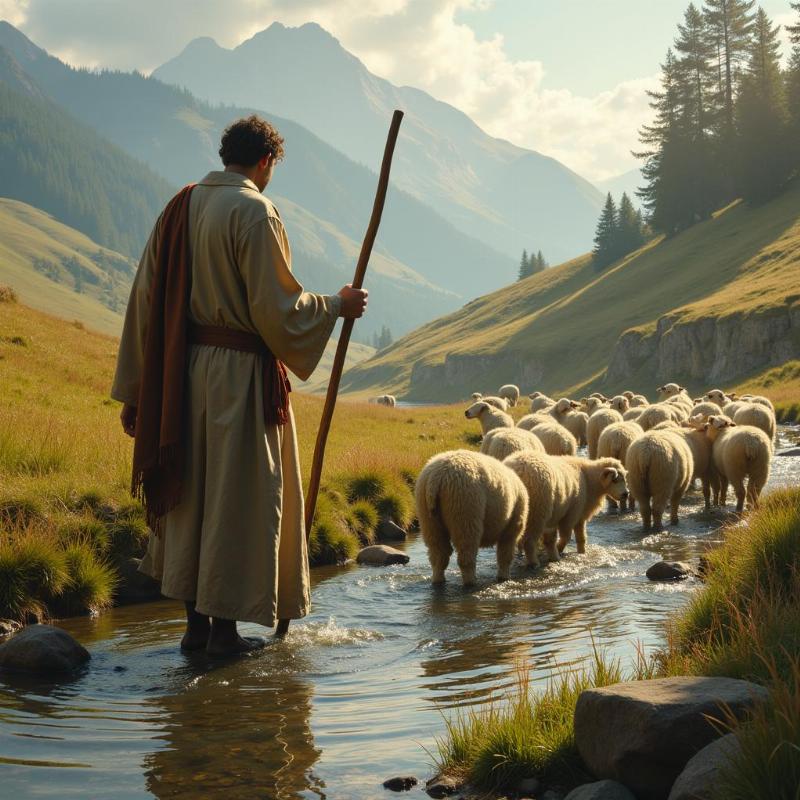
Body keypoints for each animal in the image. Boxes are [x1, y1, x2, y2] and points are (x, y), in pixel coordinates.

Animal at [412, 450, 532, 588]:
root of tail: (436, 478)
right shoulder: (513, 522)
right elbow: (505, 553)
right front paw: (504, 577)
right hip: (464, 505)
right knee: (466, 550)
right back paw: (471, 581)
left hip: (427, 513)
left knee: (437, 552)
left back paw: (438, 580)